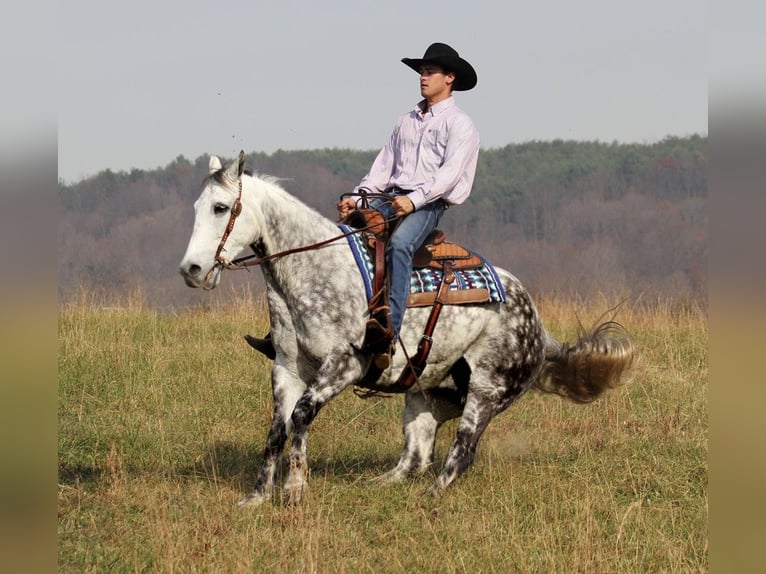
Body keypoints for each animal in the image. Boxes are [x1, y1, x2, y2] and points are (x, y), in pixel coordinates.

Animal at [178, 152, 636, 508]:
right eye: (197, 206)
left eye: (222, 207)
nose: (191, 270)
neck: (313, 271)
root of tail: (540, 329)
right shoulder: (288, 369)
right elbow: (278, 429)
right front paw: (257, 498)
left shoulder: (343, 364)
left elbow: (302, 416)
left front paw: (294, 490)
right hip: (424, 393)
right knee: (415, 457)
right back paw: (371, 487)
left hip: (486, 391)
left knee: (462, 451)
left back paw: (429, 498)